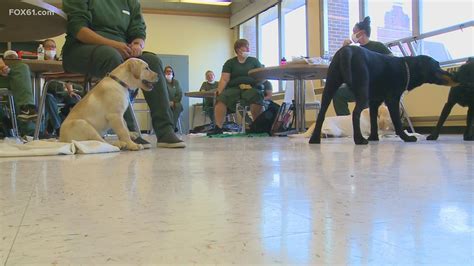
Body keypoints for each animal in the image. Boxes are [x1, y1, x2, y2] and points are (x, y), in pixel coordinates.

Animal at [308, 46, 456, 145]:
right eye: (437, 65)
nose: (451, 74)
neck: (407, 68)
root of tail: (347, 50)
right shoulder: (392, 100)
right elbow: (397, 123)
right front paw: (406, 137)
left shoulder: (375, 102)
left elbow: (374, 121)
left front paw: (373, 137)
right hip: (362, 92)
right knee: (355, 113)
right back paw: (359, 139)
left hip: (329, 87)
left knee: (321, 114)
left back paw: (315, 139)